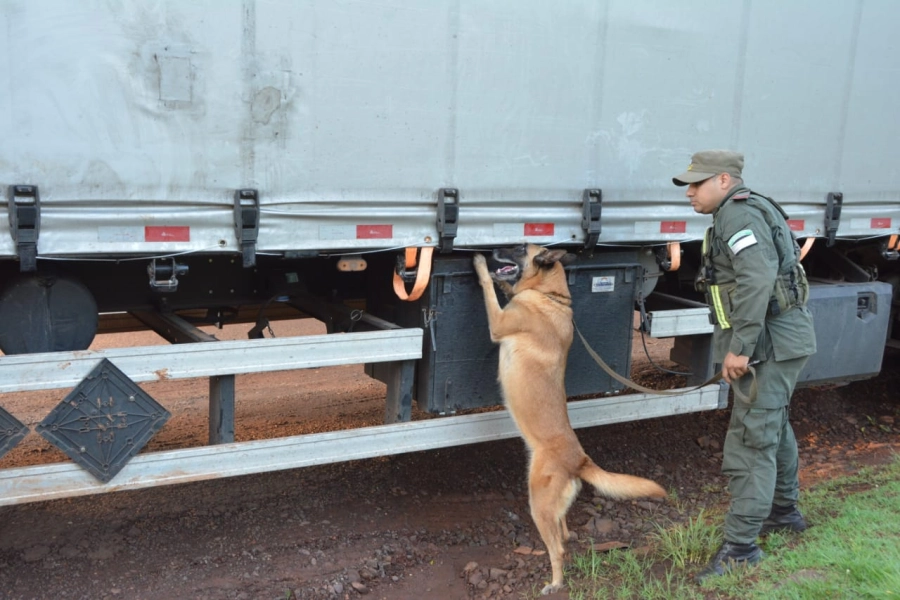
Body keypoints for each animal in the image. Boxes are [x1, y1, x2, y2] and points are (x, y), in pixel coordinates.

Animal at [474, 244, 664, 596]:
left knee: (558, 548)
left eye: (518, 248)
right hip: (551, 504)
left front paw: (481, 268)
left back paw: (555, 583)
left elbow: (489, 291)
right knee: (562, 532)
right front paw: (501, 281)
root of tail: (580, 460)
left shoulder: (499, 322)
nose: (491, 249)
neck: (550, 296)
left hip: (537, 503)